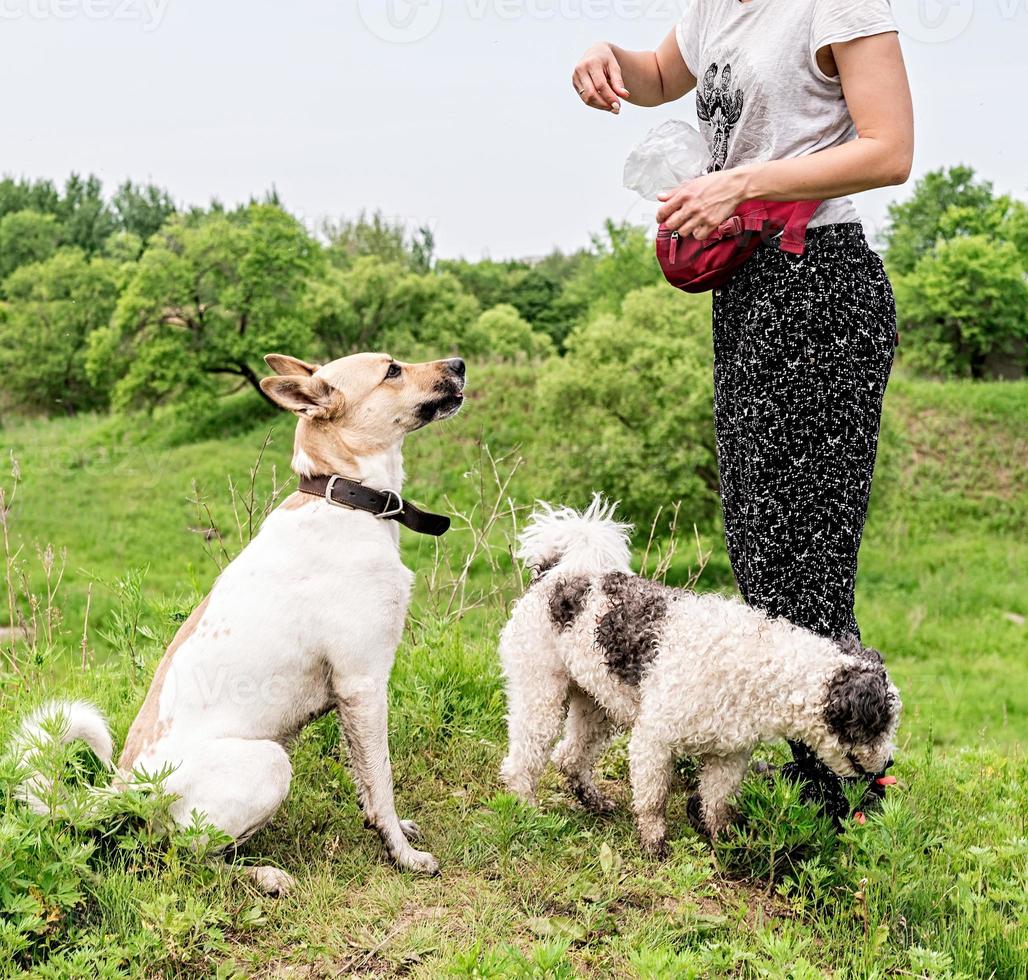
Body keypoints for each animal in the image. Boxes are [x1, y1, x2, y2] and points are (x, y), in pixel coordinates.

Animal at [497, 497, 900, 855]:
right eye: (877, 724)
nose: (889, 763)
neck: (761, 668)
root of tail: (554, 575)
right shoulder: (653, 740)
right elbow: (653, 799)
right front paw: (654, 842)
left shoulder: (729, 756)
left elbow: (718, 802)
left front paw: (724, 840)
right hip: (541, 694)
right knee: (523, 761)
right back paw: (526, 808)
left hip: (597, 704)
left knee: (569, 757)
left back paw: (593, 800)